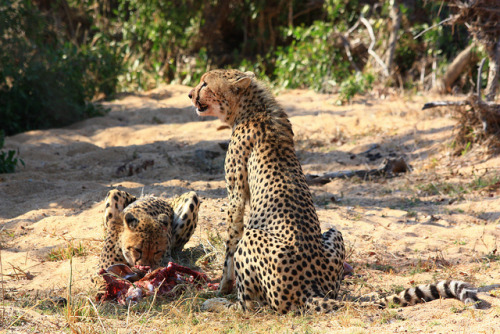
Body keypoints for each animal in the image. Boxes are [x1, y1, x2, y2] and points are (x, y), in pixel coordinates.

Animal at [189, 69, 482, 314]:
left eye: (204, 83)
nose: (190, 94)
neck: (252, 107)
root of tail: (312, 290)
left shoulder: (236, 196)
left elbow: (229, 244)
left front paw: (221, 287)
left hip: (254, 238)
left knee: (252, 308)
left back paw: (218, 304)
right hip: (334, 234)